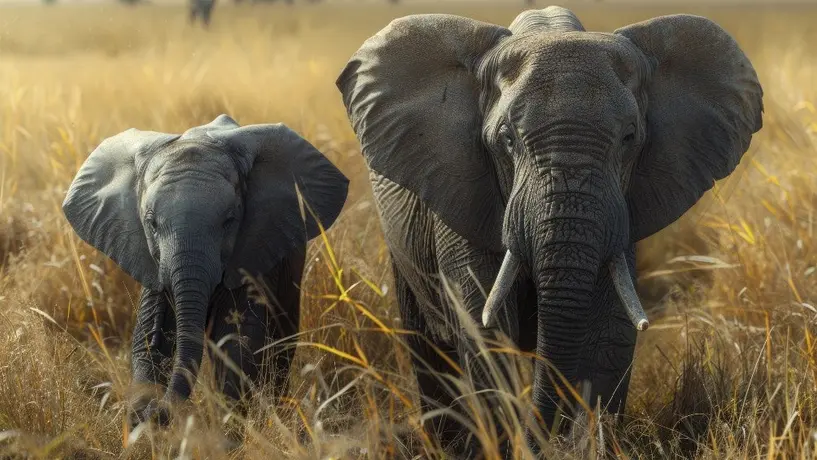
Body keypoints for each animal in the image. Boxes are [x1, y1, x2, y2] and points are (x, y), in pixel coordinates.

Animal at [62, 114, 349, 427]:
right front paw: (141, 426)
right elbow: (148, 343)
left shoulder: (249, 253)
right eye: (151, 223)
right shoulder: (152, 263)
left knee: (282, 338)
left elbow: (238, 345)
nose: (157, 413)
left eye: (229, 221)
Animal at [336, 6, 762, 455]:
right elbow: (486, 327)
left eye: (629, 138)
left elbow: (609, 331)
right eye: (507, 140)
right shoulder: (461, 191)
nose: (541, 437)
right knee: (429, 345)